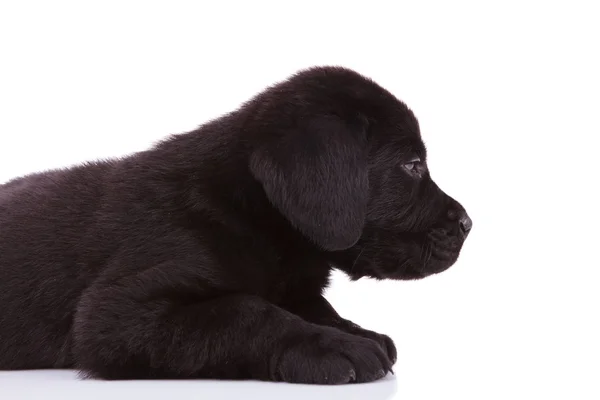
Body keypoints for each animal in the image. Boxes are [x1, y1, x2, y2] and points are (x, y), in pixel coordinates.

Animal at [0, 66, 474, 384]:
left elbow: (314, 307)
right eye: (412, 165)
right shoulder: (118, 312)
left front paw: (354, 331)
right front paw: (334, 347)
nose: (469, 223)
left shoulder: (296, 286)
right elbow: (247, 310)